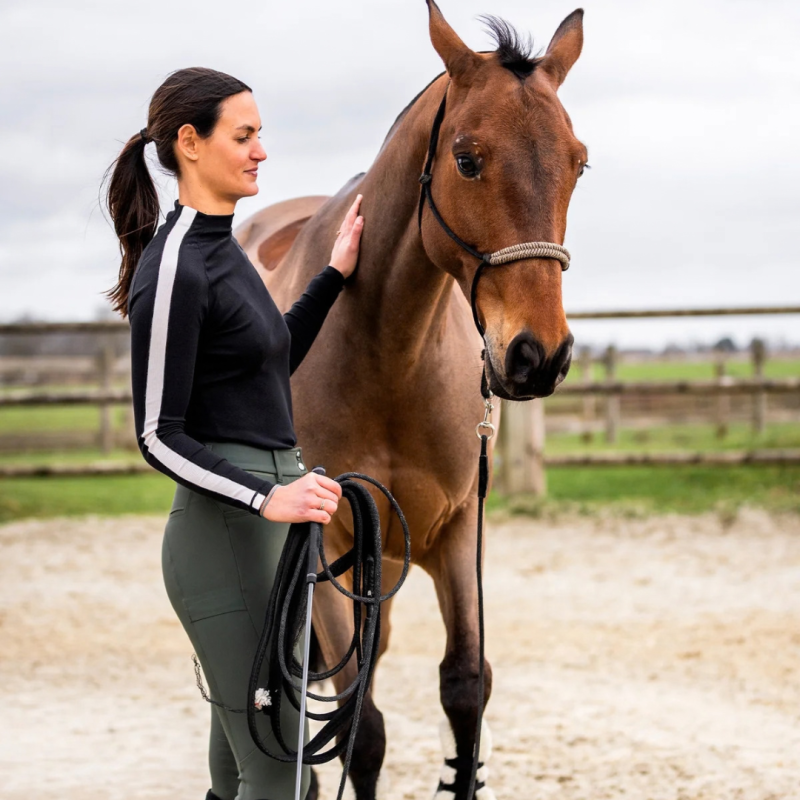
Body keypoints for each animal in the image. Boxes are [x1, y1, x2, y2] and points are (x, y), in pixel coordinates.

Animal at [235, 3, 587, 797]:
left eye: (579, 160)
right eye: (467, 158)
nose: (539, 355)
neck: (388, 355)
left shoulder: (457, 531)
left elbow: (465, 687)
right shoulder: (328, 542)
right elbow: (359, 727)